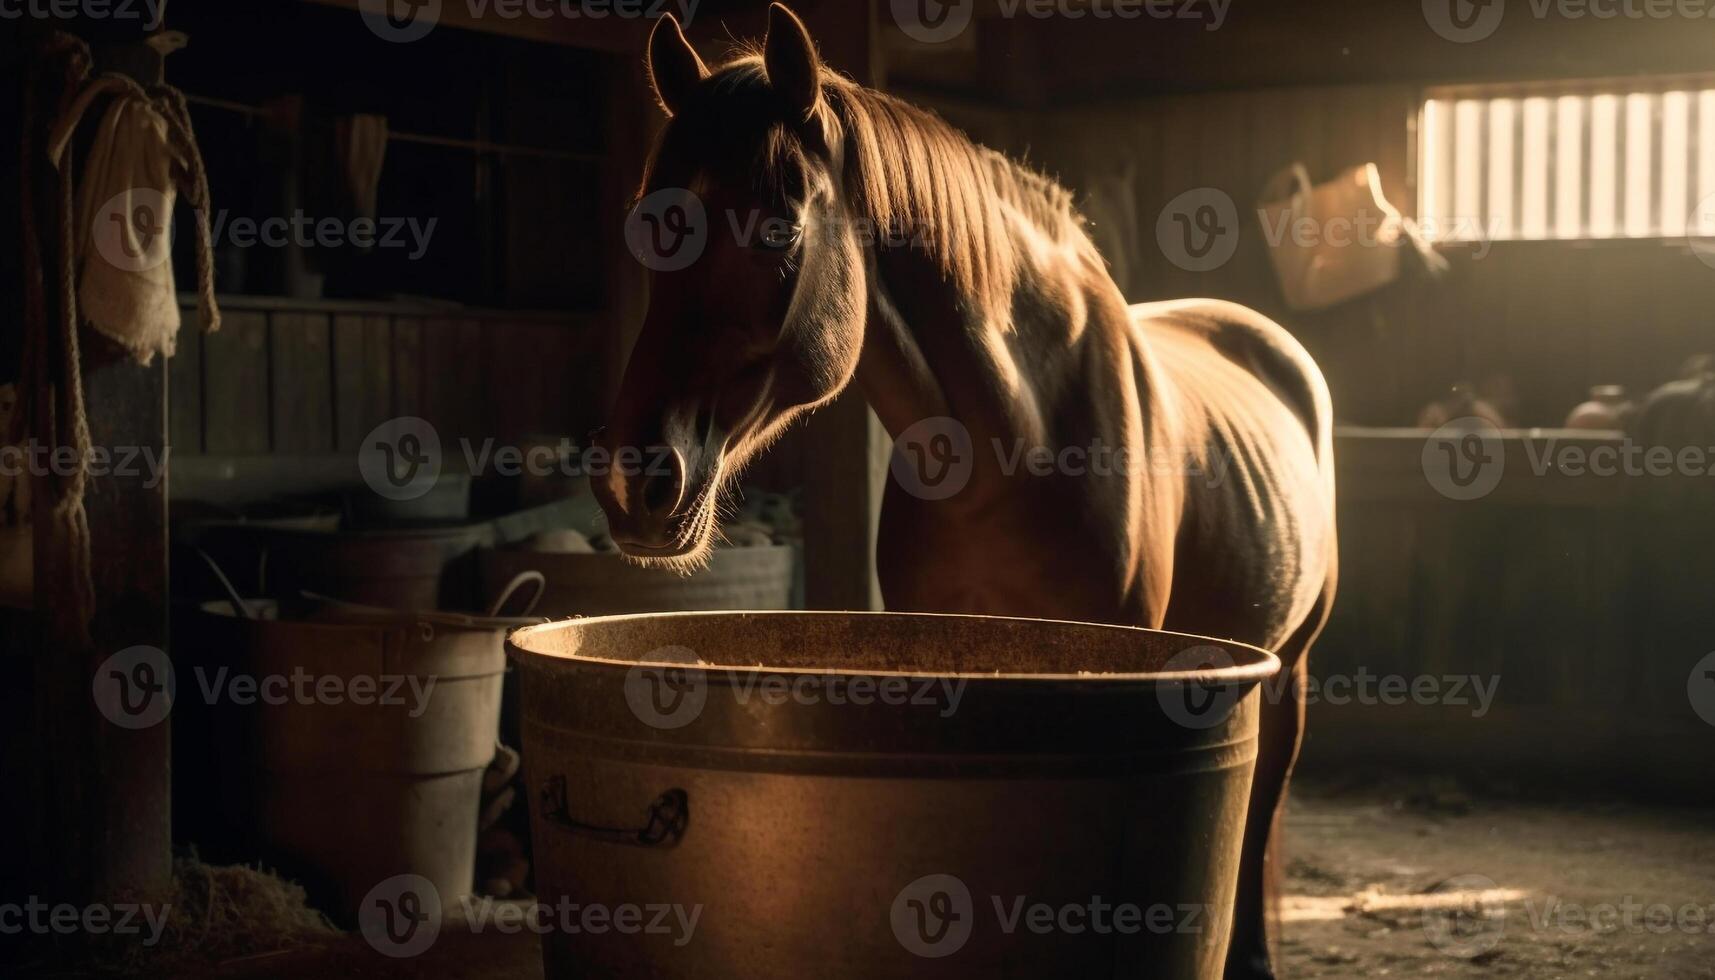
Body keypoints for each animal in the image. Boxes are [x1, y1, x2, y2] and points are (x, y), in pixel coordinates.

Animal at [593, 9, 1337, 980]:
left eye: (779, 233)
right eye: (648, 230)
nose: (635, 483)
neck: (1012, 444)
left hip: (1290, 667)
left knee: (1260, 814)